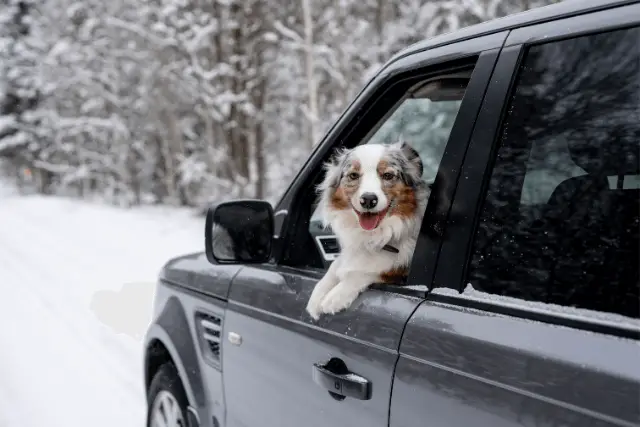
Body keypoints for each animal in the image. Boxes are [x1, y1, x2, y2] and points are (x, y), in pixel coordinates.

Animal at [306, 141, 430, 320]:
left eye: (387, 175)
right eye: (353, 175)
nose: (369, 199)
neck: (375, 235)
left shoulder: (399, 272)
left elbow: (367, 270)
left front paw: (334, 297)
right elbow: (335, 265)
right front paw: (317, 296)